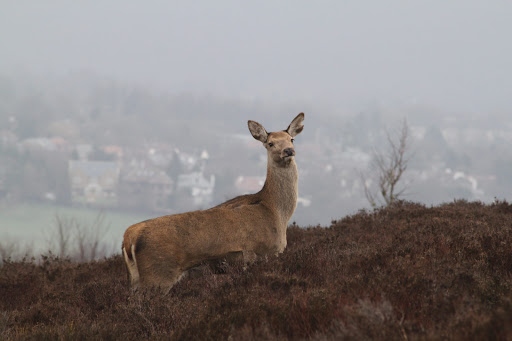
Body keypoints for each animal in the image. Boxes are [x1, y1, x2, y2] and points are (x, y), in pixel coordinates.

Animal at [122, 113, 304, 290]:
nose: (289, 151)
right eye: (271, 143)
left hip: (136, 278)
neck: (276, 211)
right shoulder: (260, 252)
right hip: (158, 274)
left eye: (291, 139)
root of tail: (129, 237)